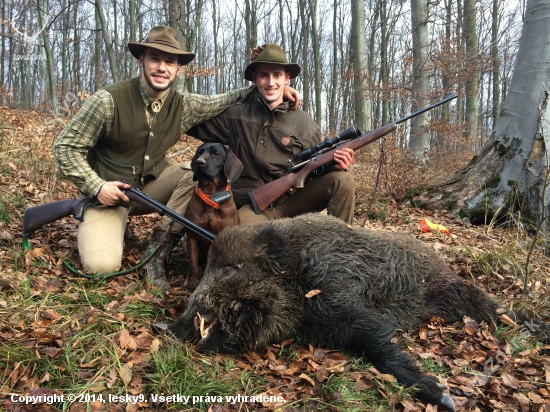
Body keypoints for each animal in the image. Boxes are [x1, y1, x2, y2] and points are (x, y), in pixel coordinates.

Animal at [183, 143, 244, 292]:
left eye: (216, 153)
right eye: (199, 152)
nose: (199, 162)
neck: (211, 196)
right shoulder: (192, 236)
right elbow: (193, 265)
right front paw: (192, 283)